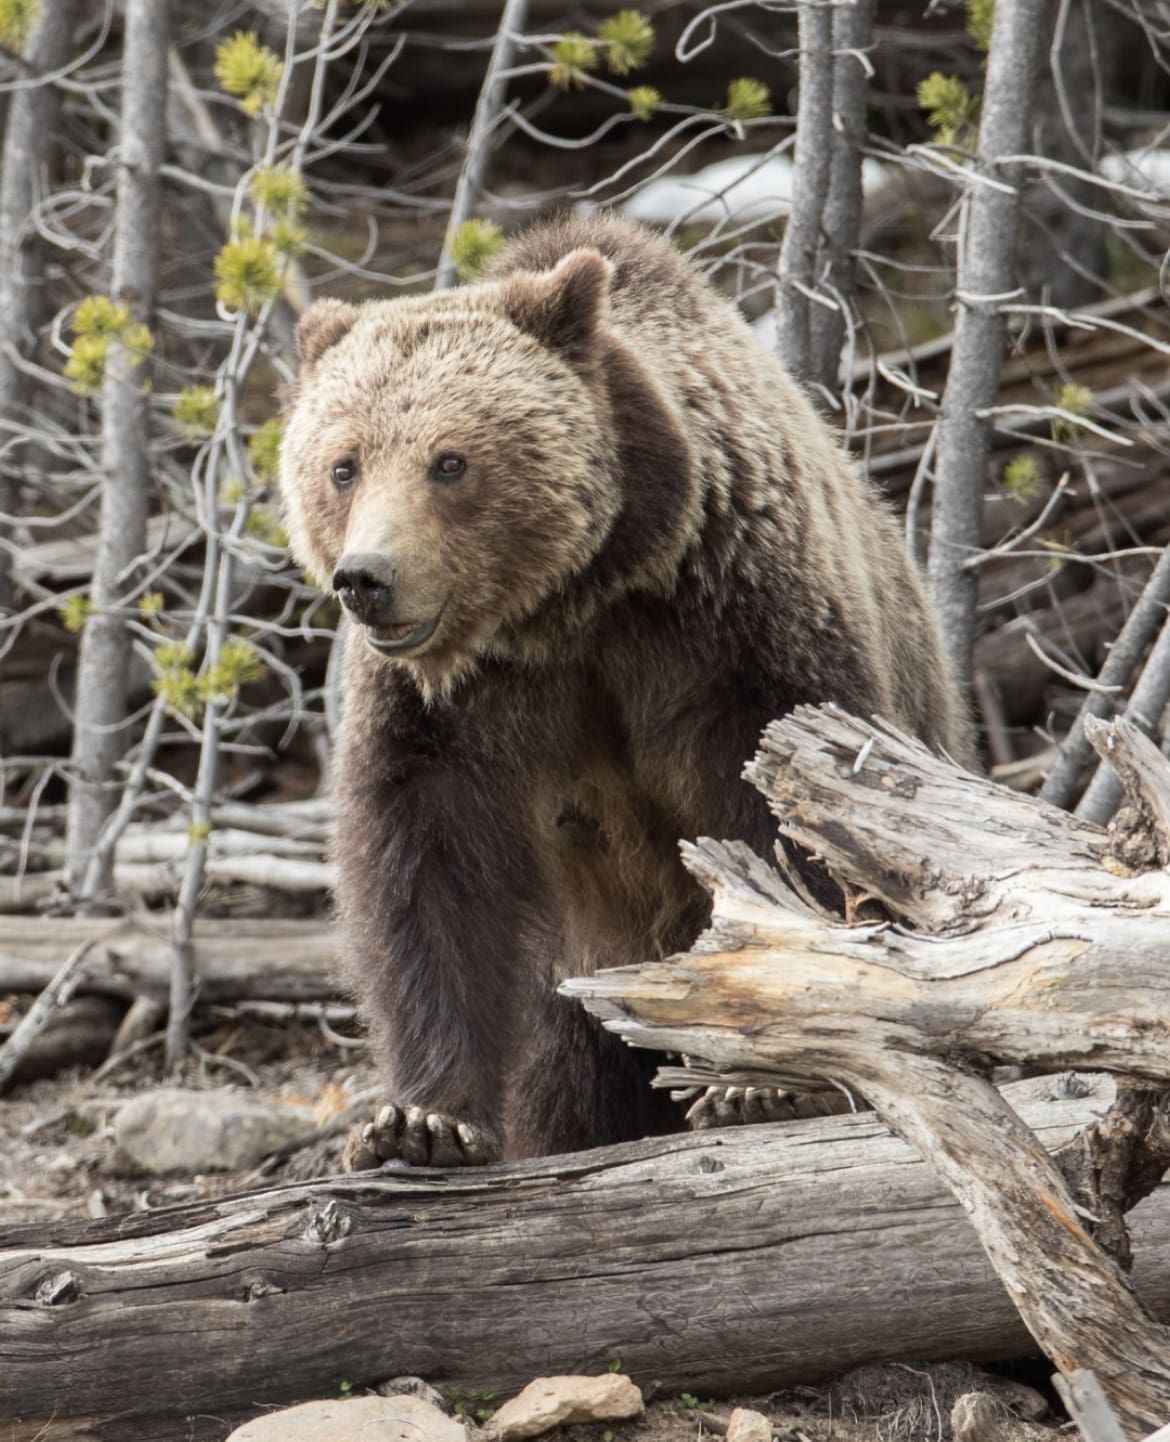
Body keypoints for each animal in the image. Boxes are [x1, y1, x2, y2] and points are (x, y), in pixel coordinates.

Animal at [278, 213, 975, 1165]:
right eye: (344, 464)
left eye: (449, 461)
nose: (367, 578)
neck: (571, 602)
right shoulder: (447, 706)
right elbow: (428, 871)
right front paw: (422, 1122)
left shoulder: (732, 626)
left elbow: (790, 827)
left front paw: (761, 1084)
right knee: (567, 1076)